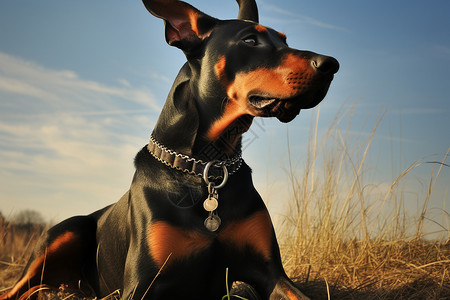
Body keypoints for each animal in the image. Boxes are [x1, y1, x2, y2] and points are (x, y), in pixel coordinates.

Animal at [0, 0, 338, 300]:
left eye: (284, 39)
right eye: (250, 40)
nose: (331, 64)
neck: (206, 168)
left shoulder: (271, 273)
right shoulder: (143, 283)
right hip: (65, 232)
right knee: (17, 289)